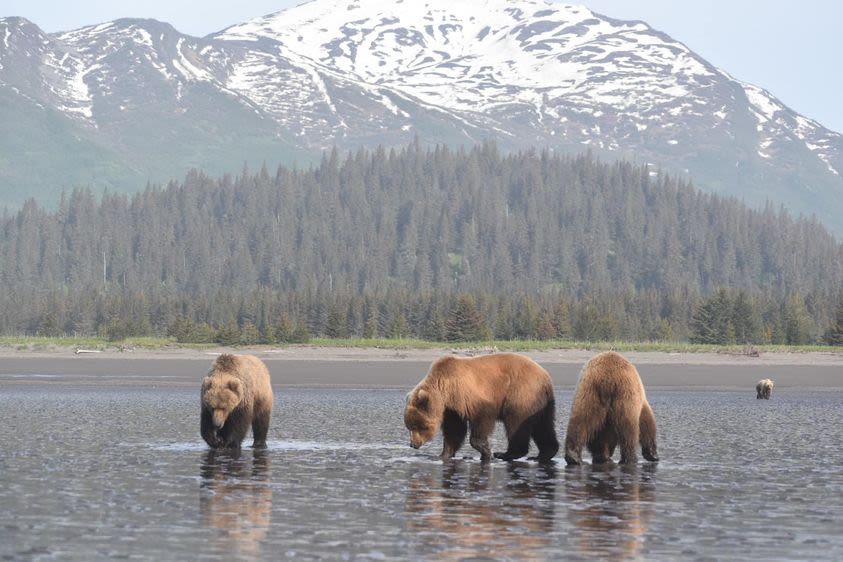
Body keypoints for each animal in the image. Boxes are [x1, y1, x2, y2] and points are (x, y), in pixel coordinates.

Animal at [404, 352, 560, 462]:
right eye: (409, 426)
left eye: (417, 426)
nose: (413, 444)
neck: (444, 389)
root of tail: (545, 377)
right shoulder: (452, 408)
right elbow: (454, 430)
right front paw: (444, 454)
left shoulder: (471, 397)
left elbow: (481, 421)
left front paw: (486, 452)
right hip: (542, 402)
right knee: (543, 425)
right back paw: (544, 454)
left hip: (521, 393)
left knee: (516, 422)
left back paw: (506, 454)